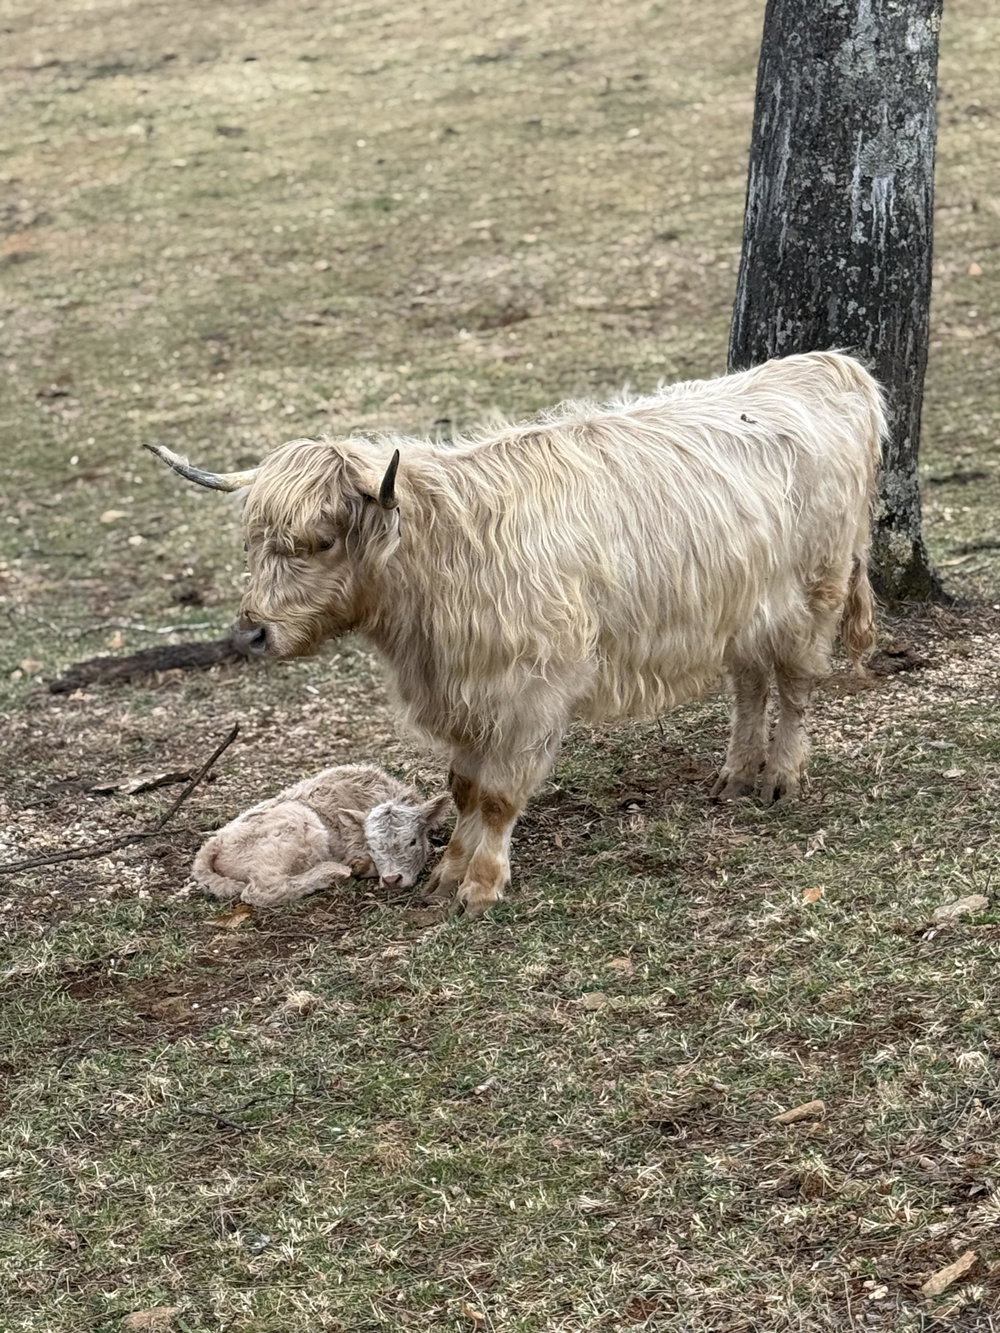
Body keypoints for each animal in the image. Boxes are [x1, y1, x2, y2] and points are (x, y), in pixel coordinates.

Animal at [148, 350, 883, 918]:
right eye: (253, 542)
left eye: (320, 540)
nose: (251, 635)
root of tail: (826, 365)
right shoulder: (464, 693)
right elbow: (463, 787)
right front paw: (446, 874)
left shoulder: (527, 692)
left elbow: (499, 795)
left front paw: (479, 886)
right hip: (740, 611)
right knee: (749, 684)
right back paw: (734, 773)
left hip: (812, 593)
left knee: (795, 686)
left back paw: (780, 776)